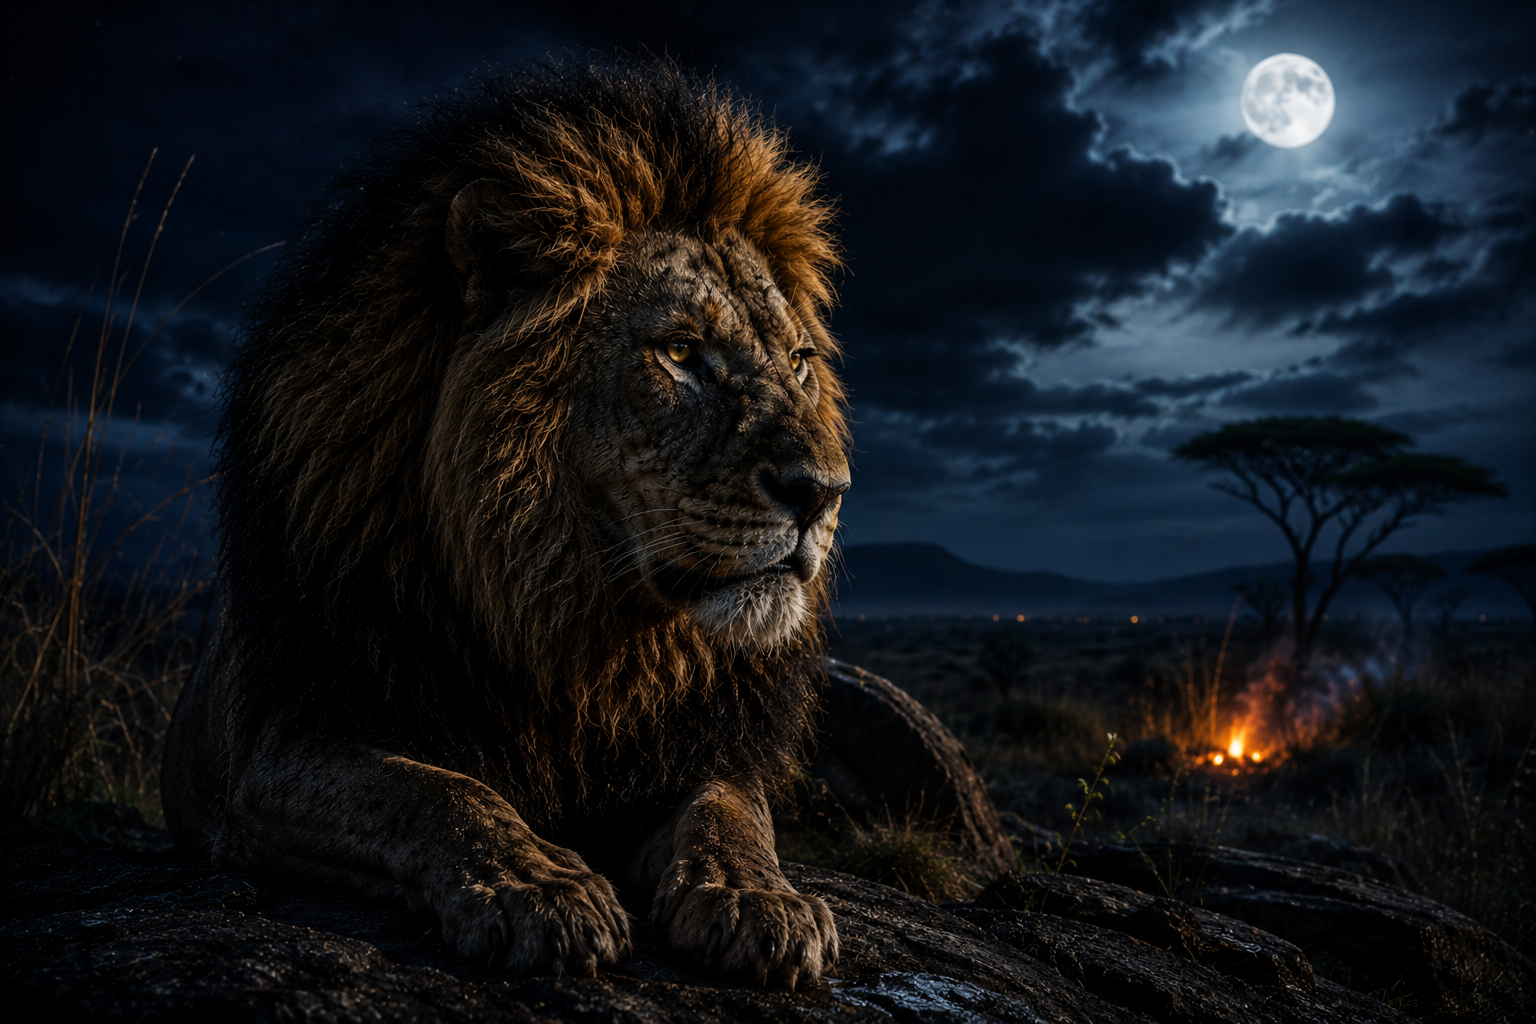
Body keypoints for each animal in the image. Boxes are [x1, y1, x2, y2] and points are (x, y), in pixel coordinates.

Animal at [161, 60, 849, 988]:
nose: (823, 491)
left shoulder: (692, 751)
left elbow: (732, 816)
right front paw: (538, 887)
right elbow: (441, 792)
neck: (567, 621)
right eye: (680, 353)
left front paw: (759, 899)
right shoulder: (278, 750)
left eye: (802, 361)